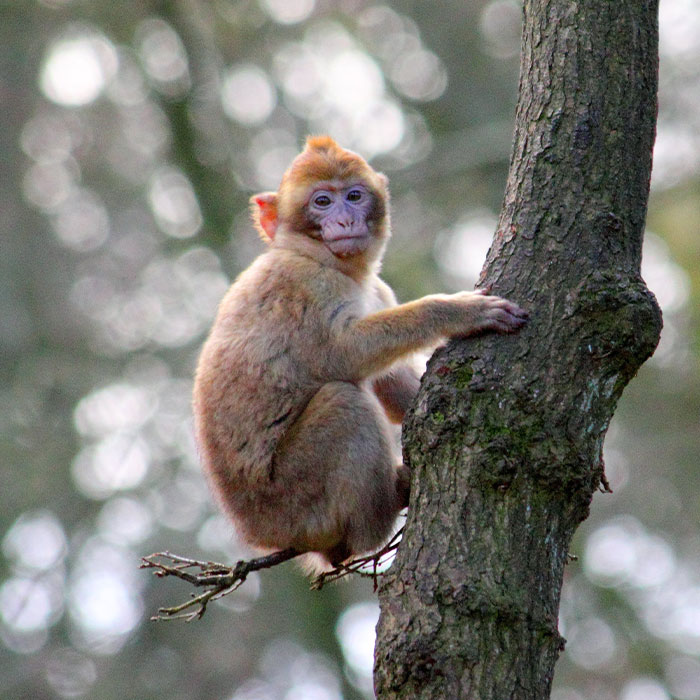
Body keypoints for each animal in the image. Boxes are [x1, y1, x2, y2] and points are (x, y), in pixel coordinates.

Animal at [191, 137, 524, 576]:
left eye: (354, 196)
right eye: (322, 202)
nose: (346, 220)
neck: (328, 263)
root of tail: (260, 534)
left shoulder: (378, 291)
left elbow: (394, 388)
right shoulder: (304, 286)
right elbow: (341, 357)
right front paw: (456, 312)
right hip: (293, 499)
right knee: (344, 400)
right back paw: (385, 507)